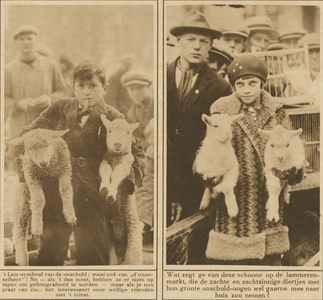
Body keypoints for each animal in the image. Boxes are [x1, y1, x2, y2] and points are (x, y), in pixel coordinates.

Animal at [7, 129, 77, 264]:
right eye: (29, 148)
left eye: (48, 144)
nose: (43, 162)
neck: (47, 171)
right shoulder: (31, 178)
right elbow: (38, 199)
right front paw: (37, 226)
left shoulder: (65, 169)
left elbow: (66, 189)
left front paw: (70, 214)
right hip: (22, 202)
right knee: (19, 233)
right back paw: (23, 259)